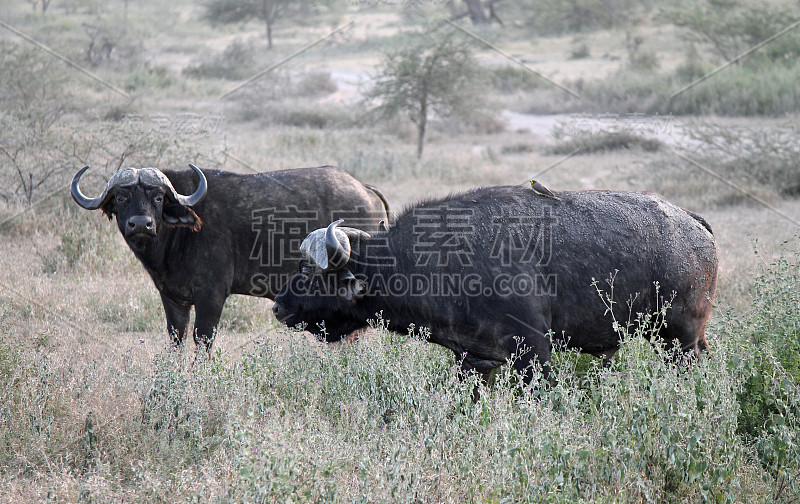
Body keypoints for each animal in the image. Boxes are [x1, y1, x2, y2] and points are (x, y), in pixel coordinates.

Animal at [274, 185, 720, 386]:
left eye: (311, 272)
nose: (278, 305)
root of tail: (692, 221)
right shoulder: (474, 360)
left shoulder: (534, 354)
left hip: (679, 339)